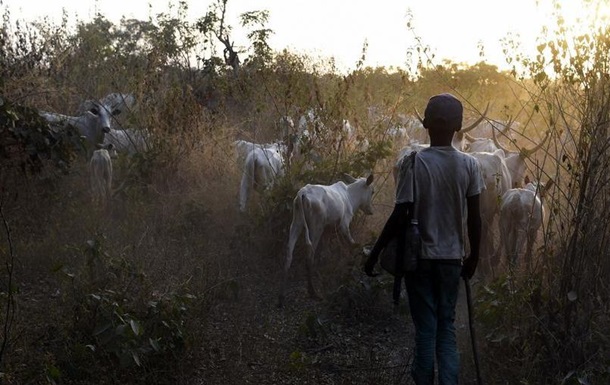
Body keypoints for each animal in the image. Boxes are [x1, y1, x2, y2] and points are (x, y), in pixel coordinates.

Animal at [278, 172, 372, 304]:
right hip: (316, 226)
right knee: (309, 257)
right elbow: (353, 245)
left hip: (296, 223)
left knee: (288, 255)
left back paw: (281, 297)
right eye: (372, 192)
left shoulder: (328, 229)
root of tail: (302, 194)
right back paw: (313, 292)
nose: (370, 211)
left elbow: (325, 253)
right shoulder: (343, 225)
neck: (351, 198)